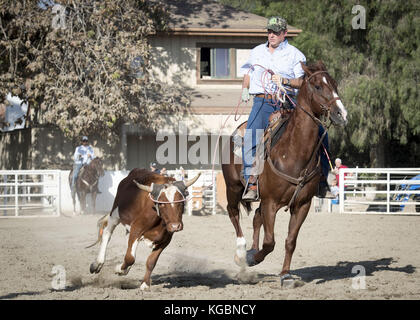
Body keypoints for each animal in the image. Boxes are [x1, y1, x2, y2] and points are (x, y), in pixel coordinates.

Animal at [220, 61, 348, 286]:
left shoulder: (302, 205)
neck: (293, 153)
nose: (342, 114)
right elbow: (270, 242)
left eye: (334, 84)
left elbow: (290, 241)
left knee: (256, 217)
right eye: (317, 86)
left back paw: (250, 249)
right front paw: (253, 258)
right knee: (233, 212)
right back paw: (242, 252)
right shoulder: (271, 202)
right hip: (233, 187)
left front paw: (285, 274)